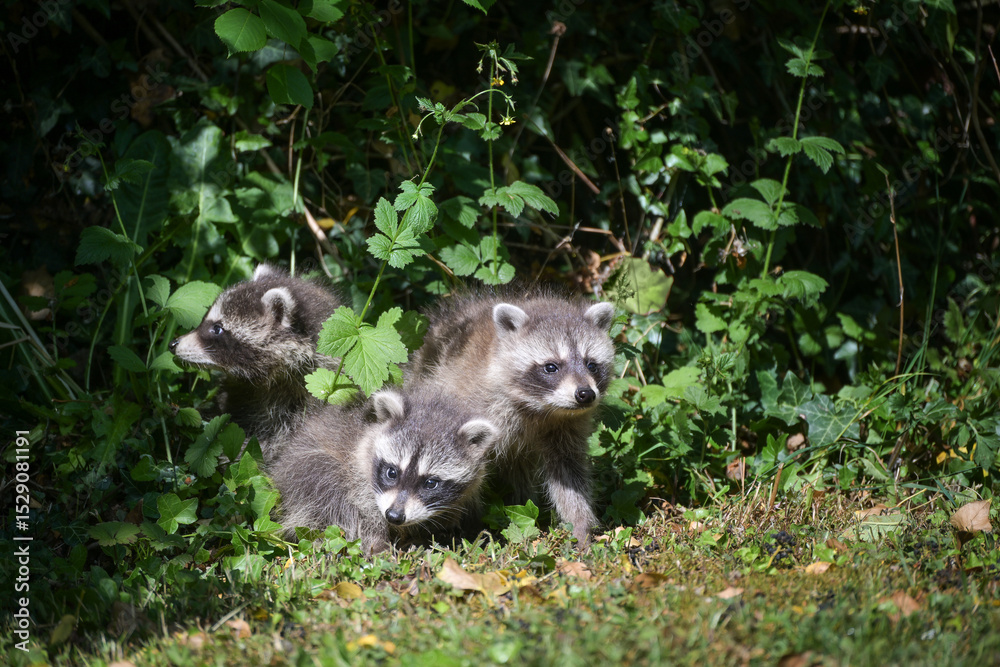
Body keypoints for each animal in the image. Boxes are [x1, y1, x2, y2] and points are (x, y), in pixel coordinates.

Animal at [270, 388, 498, 554]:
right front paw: (377, 541)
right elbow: (361, 511)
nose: (394, 516)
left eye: (430, 483)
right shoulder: (356, 473)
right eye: (392, 472)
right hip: (307, 471)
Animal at [407, 291, 616, 543]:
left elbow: (569, 472)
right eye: (551, 367)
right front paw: (468, 524)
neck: (541, 408)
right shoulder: (472, 405)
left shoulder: (566, 426)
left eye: (591, 364)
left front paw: (580, 523)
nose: (585, 394)